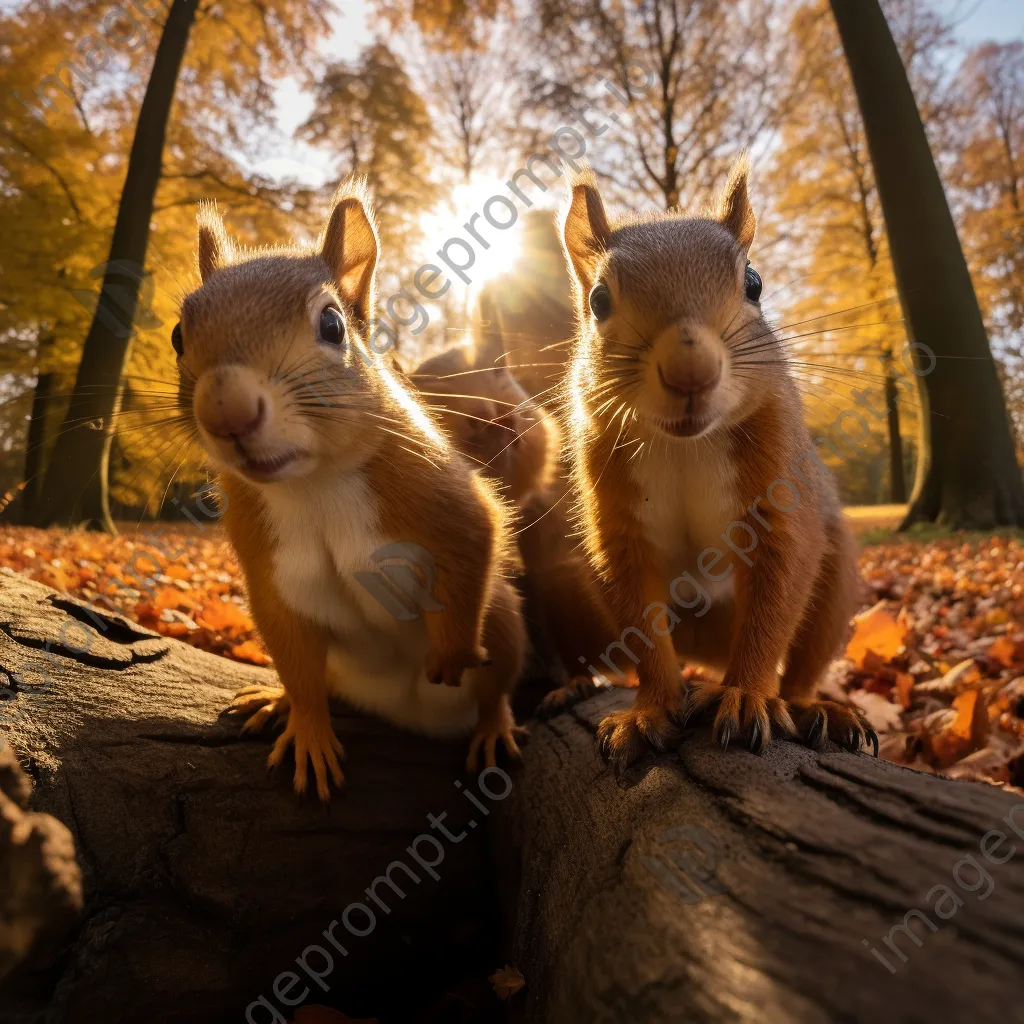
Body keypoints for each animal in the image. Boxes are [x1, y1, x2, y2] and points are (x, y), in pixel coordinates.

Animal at [174, 184, 528, 798]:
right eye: (177, 336)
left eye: (333, 326)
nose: (227, 411)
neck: (312, 484)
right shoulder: (270, 578)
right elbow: (296, 663)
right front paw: (308, 731)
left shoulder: (439, 491)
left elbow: (474, 536)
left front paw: (452, 650)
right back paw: (274, 701)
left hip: (504, 620)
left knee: (496, 685)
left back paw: (492, 728)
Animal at [561, 159, 872, 770]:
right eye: (599, 300)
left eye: (754, 283)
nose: (691, 370)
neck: (685, 445)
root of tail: (707, 656)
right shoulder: (618, 528)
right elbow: (639, 622)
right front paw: (649, 709)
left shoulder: (781, 496)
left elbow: (777, 590)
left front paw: (747, 697)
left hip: (836, 586)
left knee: (800, 668)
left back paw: (812, 708)